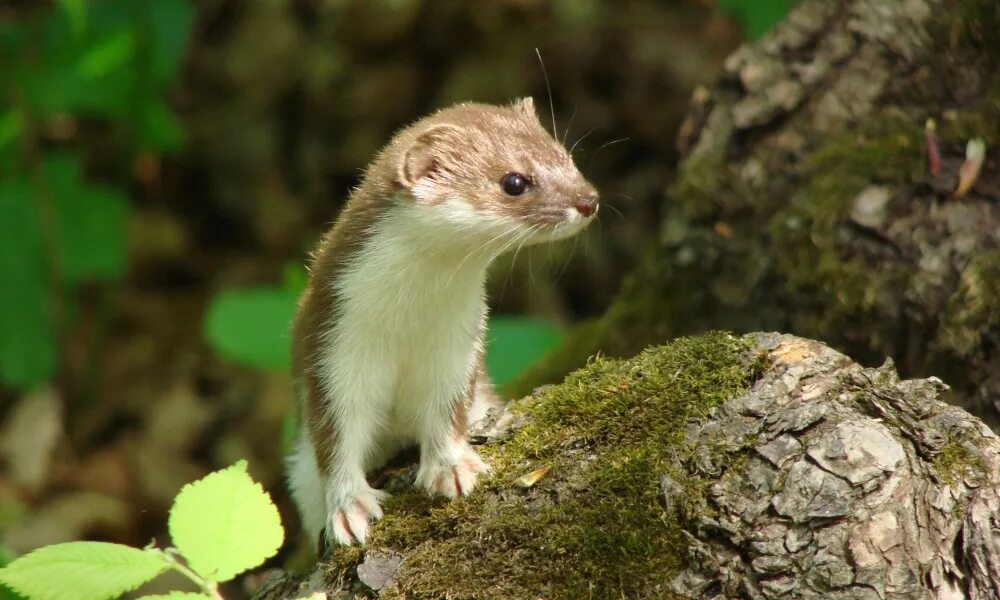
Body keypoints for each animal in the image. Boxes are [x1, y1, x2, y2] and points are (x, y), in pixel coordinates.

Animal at [290, 97, 600, 548]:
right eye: (514, 181)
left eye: (566, 155)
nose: (589, 200)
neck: (411, 321)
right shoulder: (332, 346)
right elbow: (335, 437)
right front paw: (348, 508)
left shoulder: (459, 345)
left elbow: (447, 408)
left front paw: (452, 468)